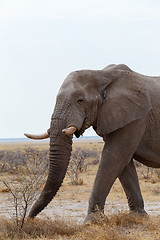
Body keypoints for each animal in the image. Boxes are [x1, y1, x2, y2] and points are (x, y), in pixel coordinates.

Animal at [24, 63, 160, 221]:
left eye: (80, 100)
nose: (29, 218)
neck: (102, 74)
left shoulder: (135, 117)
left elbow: (114, 157)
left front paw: (92, 221)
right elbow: (124, 164)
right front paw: (138, 217)